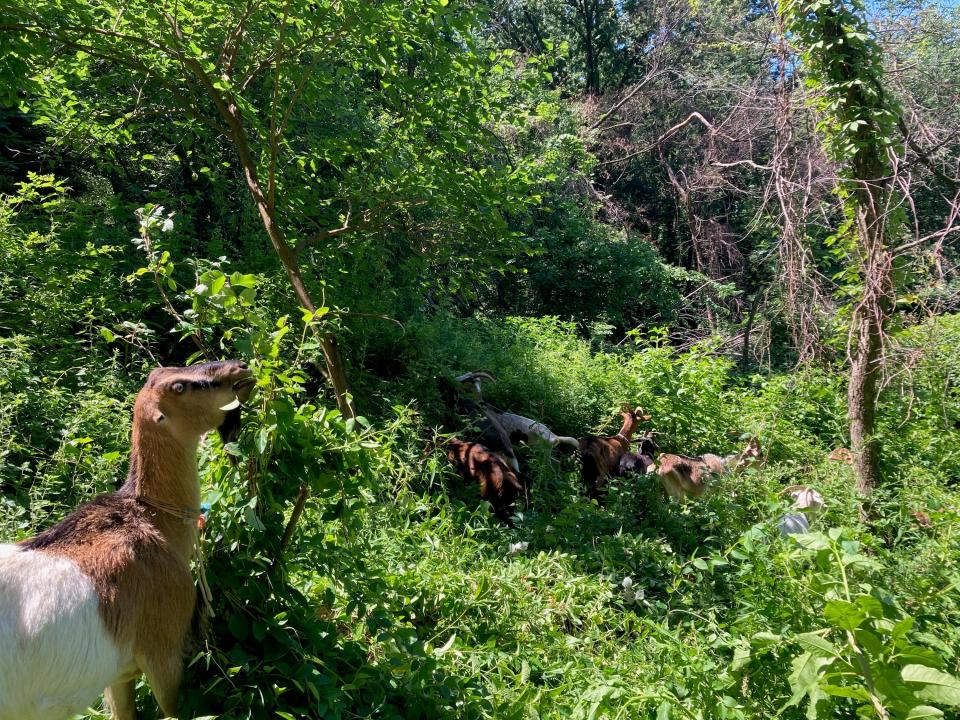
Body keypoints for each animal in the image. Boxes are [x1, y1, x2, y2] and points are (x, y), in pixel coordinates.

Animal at [0, 360, 255, 720]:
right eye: (180, 387)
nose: (240, 367)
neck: (149, 519)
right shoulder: (164, 650)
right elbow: (171, 710)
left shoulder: (116, 675)